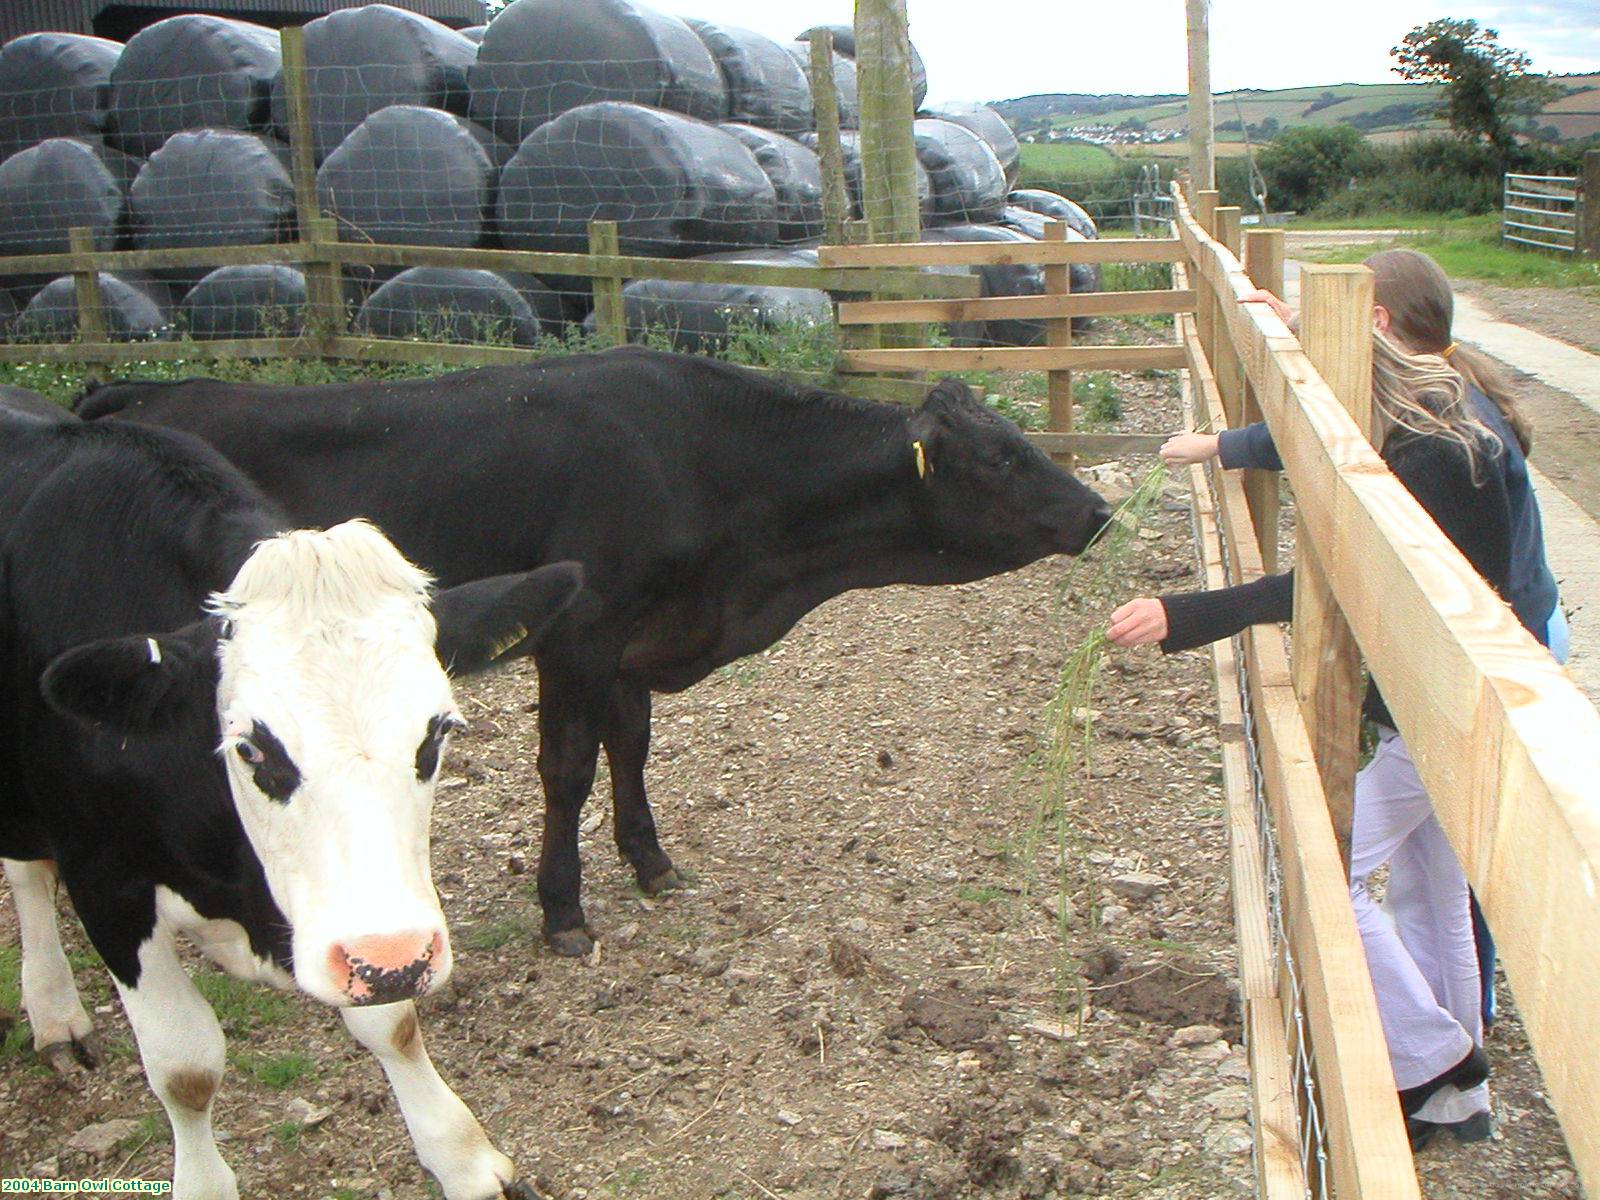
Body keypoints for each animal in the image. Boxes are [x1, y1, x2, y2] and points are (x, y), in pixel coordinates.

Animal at [1, 412, 582, 1200]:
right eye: (252, 749)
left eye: (438, 731)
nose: (394, 958)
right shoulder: (107, 882)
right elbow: (184, 1067)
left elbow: (391, 1024)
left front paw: (458, 1155)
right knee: (27, 871)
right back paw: (56, 1010)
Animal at [81, 347, 1120, 960]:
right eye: (1001, 458)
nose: (1099, 510)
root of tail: (147, 390)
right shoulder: (579, 632)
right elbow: (570, 767)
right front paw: (564, 910)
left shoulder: (633, 642)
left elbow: (632, 748)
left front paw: (651, 862)